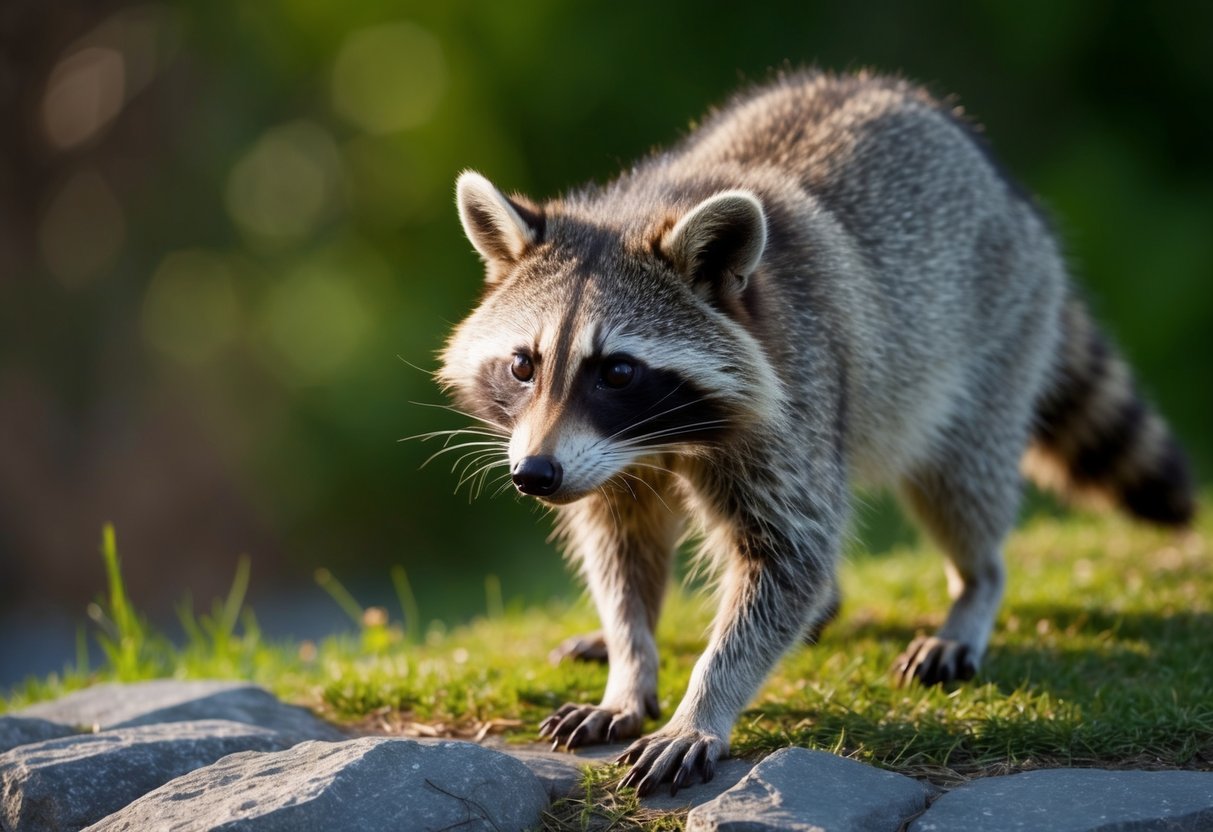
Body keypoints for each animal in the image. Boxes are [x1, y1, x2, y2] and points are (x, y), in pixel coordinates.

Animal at [436, 70, 1194, 795]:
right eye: (523, 365)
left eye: (617, 370)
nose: (533, 475)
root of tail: (1008, 190)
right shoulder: (601, 459)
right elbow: (619, 548)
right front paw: (629, 660)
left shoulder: (794, 394)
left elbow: (789, 556)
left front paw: (704, 701)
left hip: (993, 341)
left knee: (959, 482)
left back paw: (974, 587)